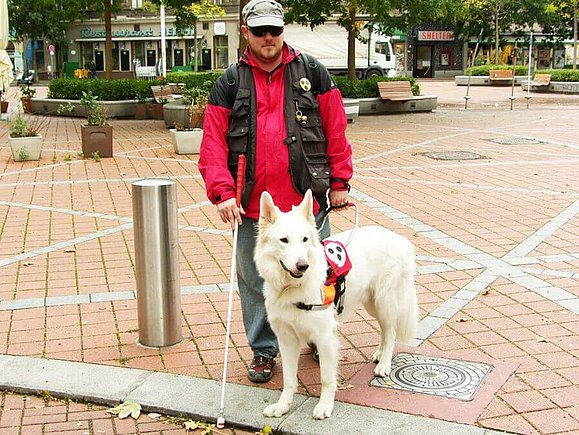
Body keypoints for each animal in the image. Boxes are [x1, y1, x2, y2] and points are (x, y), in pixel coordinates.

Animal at [256, 190, 420, 418]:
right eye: (284, 240)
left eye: (305, 239)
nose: (303, 265)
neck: (293, 287)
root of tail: (401, 239)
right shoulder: (286, 339)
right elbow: (289, 380)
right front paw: (282, 406)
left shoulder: (325, 338)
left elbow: (326, 379)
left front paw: (325, 406)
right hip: (372, 304)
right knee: (385, 330)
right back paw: (379, 354)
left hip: (385, 301)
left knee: (391, 331)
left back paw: (385, 364)